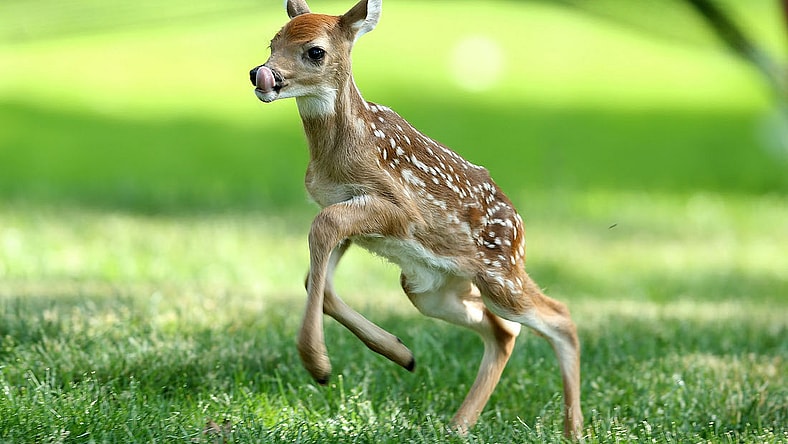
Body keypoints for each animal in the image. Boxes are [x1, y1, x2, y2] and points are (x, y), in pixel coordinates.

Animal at [249, 0, 583, 439]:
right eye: (273, 43)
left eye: (315, 51)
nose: (261, 75)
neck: (340, 152)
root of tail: (520, 228)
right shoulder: (346, 211)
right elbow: (316, 276)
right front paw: (400, 353)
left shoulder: (398, 208)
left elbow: (323, 230)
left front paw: (317, 364)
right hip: (430, 287)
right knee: (503, 330)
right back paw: (458, 425)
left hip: (500, 274)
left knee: (559, 317)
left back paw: (574, 430)